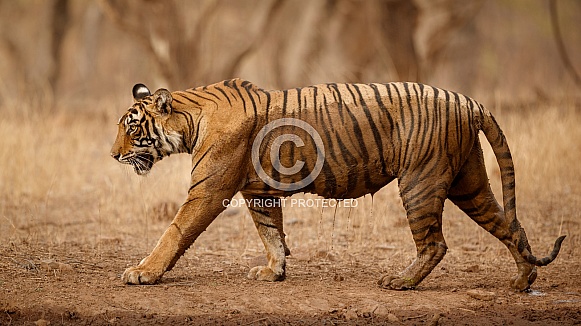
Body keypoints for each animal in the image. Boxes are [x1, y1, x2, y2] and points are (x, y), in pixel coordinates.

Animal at [111, 78, 564, 290]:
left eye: (132, 129)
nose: (114, 155)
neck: (190, 120)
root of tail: (468, 101)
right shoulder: (258, 192)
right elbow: (271, 232)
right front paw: (274, 271)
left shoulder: (208, 189)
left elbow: (175, 231)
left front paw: (142, 272)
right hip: (468, 183)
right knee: (509, 225)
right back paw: (522, 281)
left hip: (420, 180)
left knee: (436, 243)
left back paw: (400, 282)